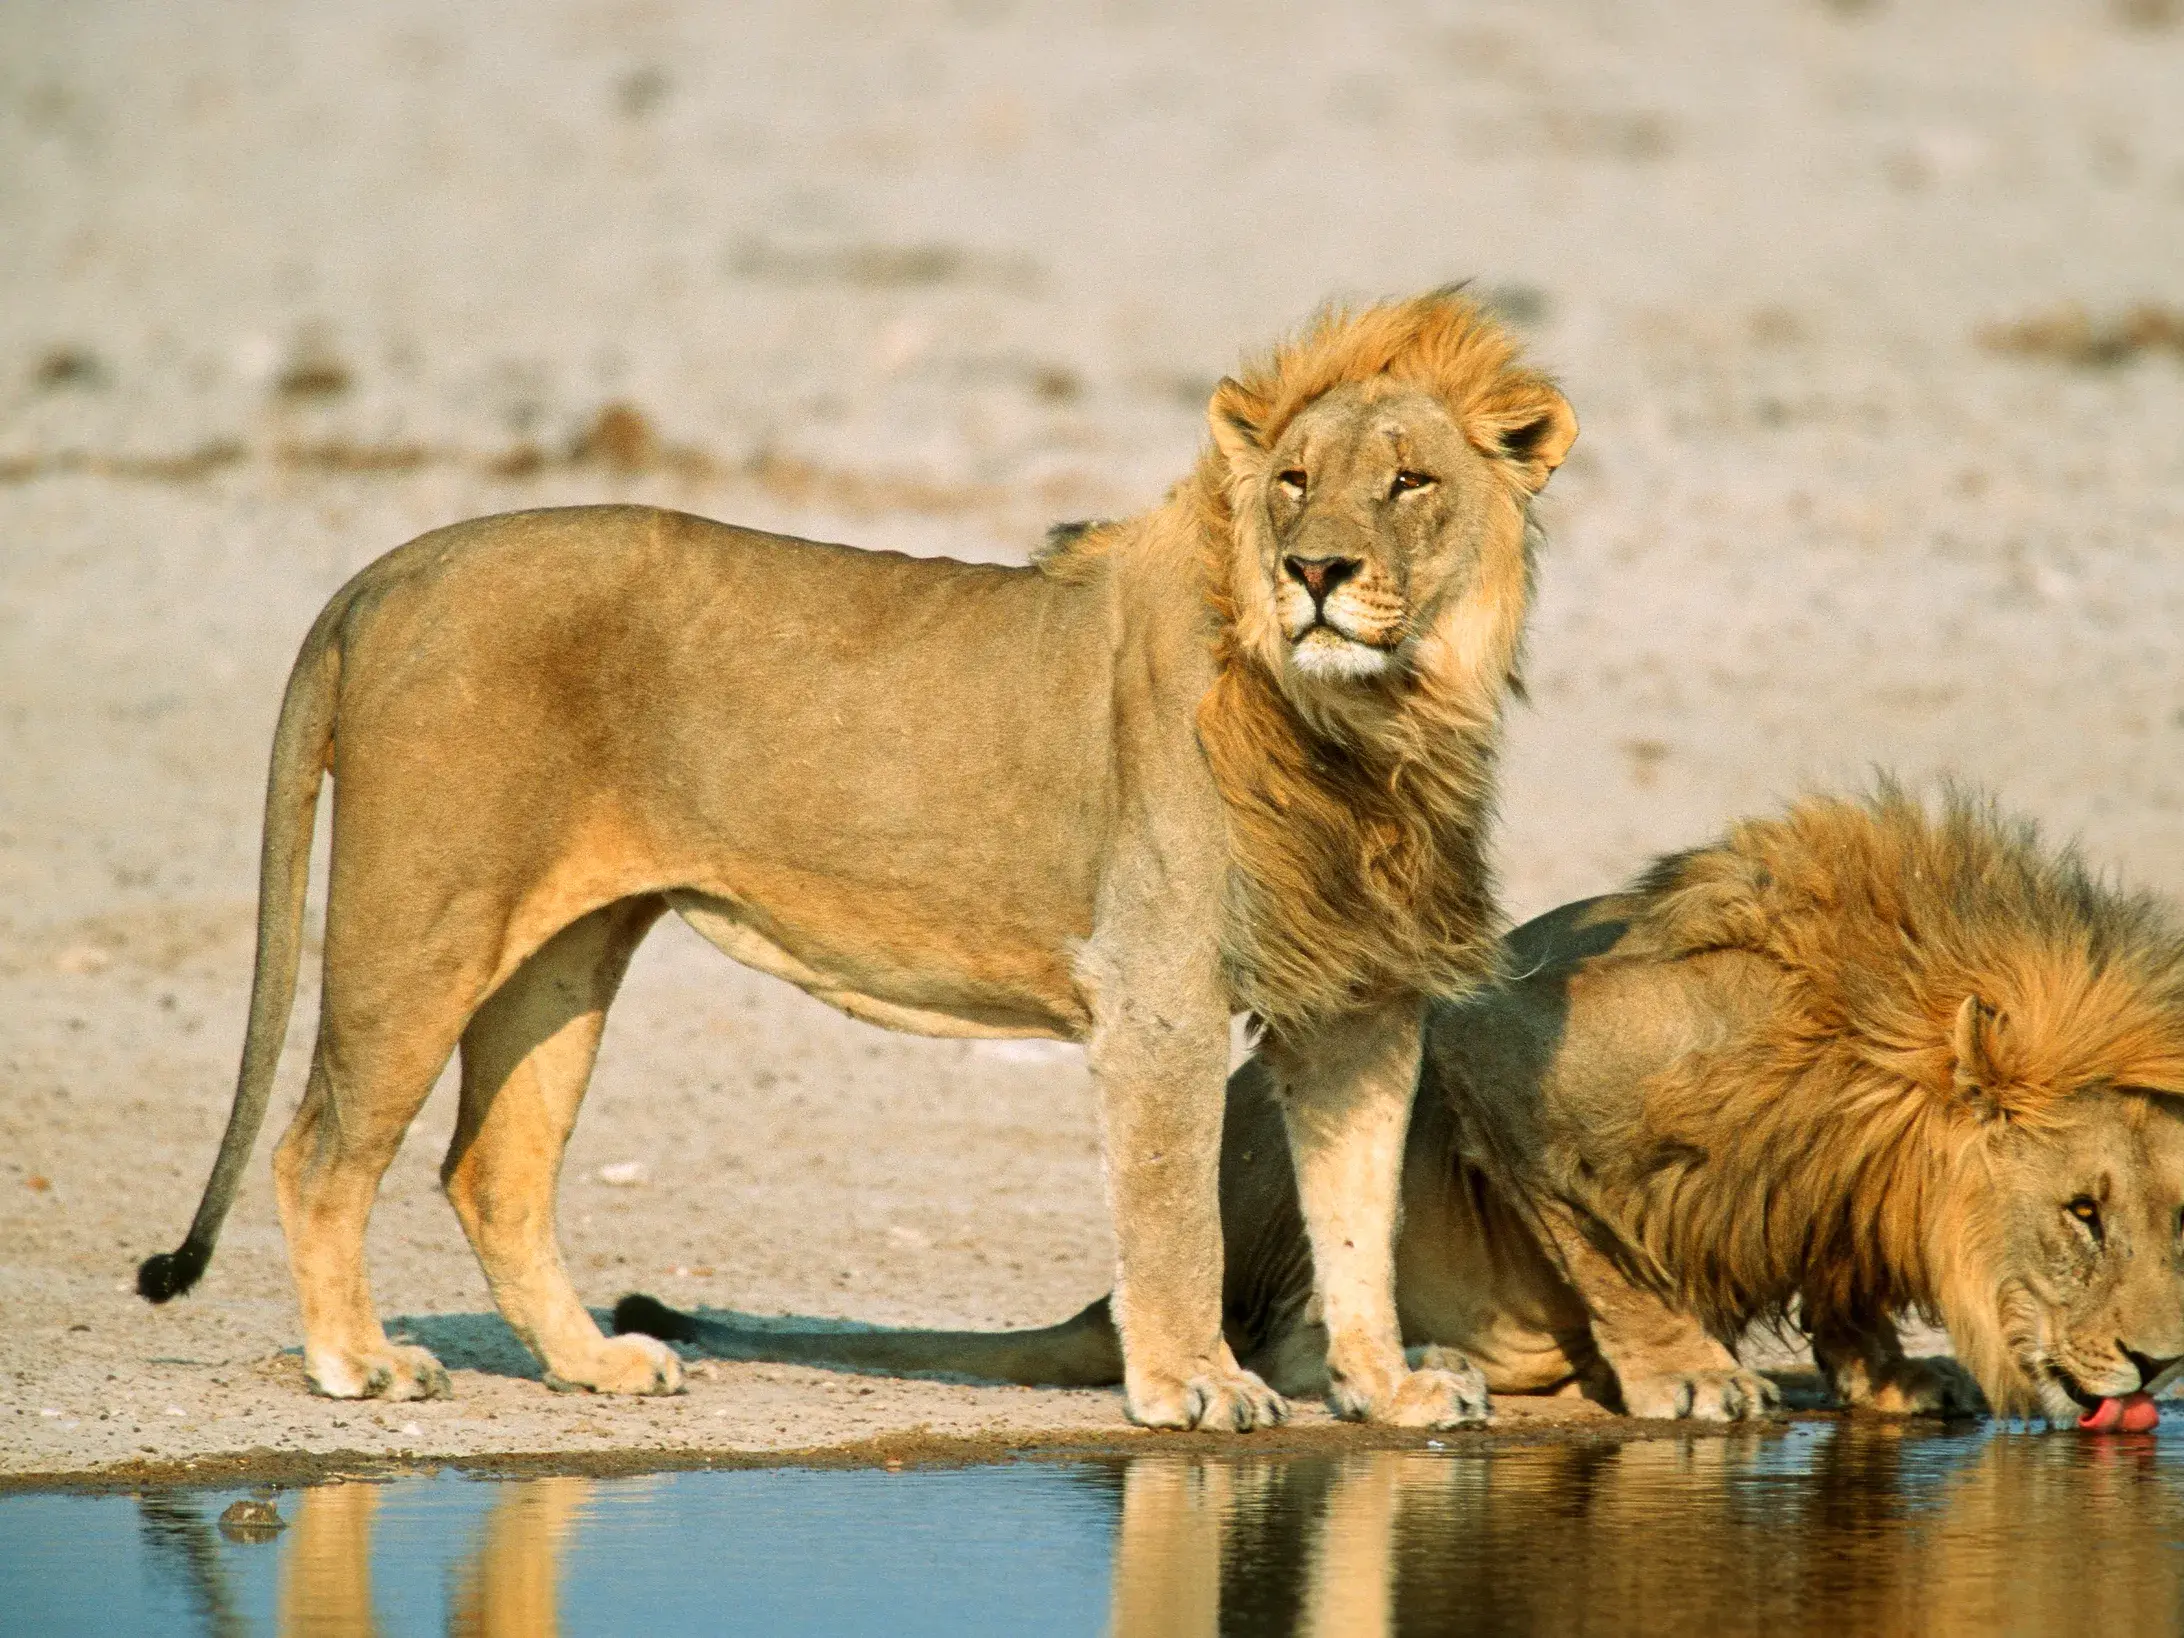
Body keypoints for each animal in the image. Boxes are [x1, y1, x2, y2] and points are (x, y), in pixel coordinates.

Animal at [135, 290, 1578, 1431]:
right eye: (1291, 481)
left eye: (1409, 482)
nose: (1315, 570)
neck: (1375, 726)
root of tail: (388, 569)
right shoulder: (1157, 989)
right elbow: (1178, 1214)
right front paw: (1198, 1386)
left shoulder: (1359, 1006)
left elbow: (1359, 1218)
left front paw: (1388, 1388)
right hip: (425, 917)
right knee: (320, 1148)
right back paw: (361, 1361)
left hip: (561, 952)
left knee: (492, 1169)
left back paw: (596, 1364)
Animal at [618, 788, 2184, 1427]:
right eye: (2082, 1211)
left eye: (2175, 1217)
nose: (2162, 1364)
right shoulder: (1505, 1030)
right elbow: (1607, 1245)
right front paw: (1688, 1376)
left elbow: (1836, 1272)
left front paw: (1881, 1374)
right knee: (1288, 1335)